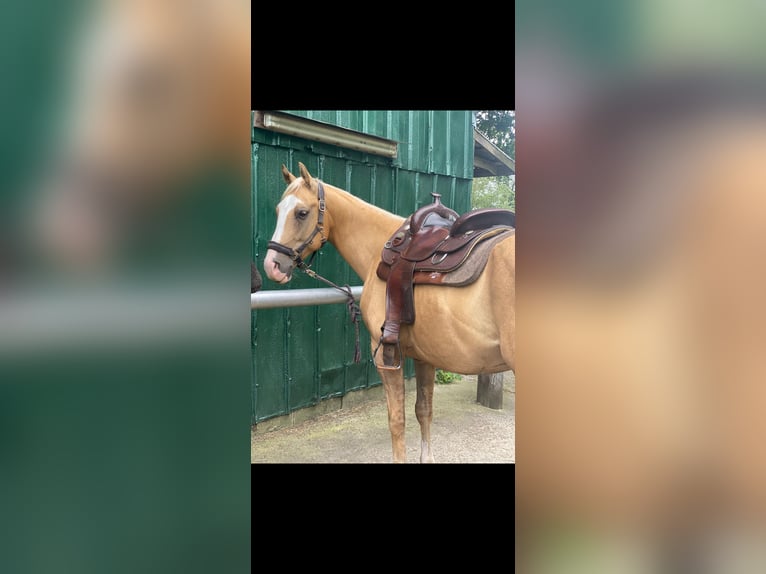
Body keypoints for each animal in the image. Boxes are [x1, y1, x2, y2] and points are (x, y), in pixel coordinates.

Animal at [263, 162, 515, 463]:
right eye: (278, 210)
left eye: (301, 213)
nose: (272, 265)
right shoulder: (426, 356)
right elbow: (424, 411)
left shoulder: (386, 354)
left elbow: (397, 420)